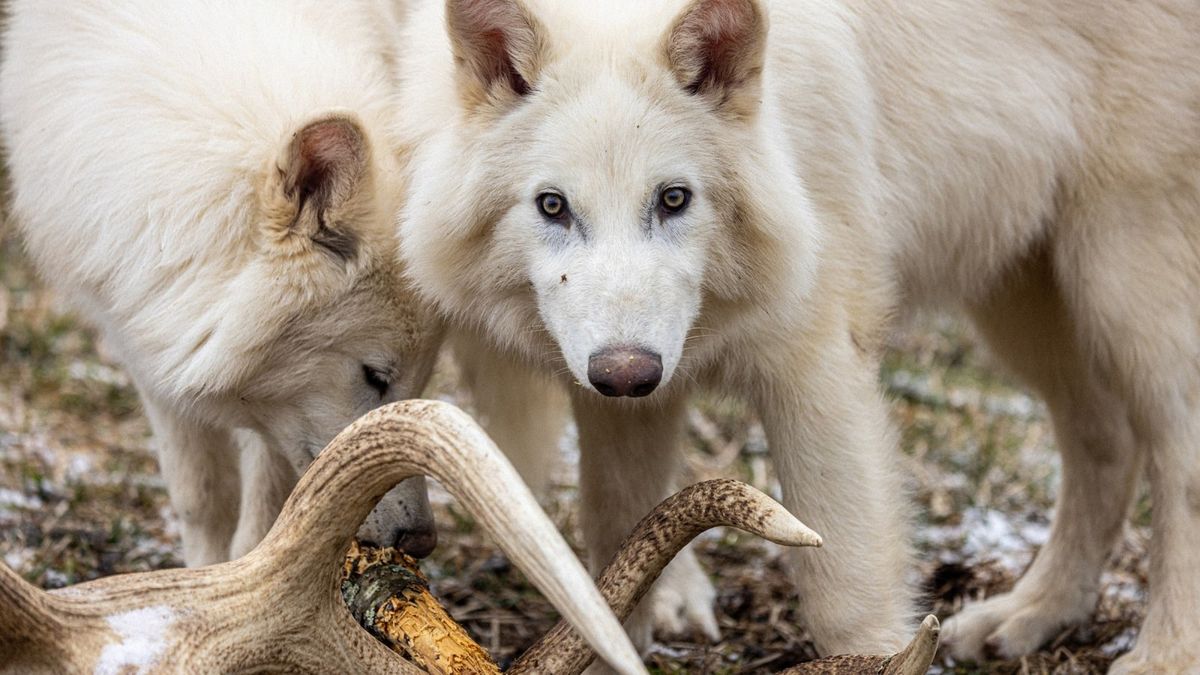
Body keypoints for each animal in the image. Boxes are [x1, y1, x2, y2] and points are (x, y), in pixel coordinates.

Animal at [1, 0, 445, 566]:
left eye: (418, 383)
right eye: (375, 377)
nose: (422, 541)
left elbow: (268, 508)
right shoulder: (145, 346)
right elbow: (200, 497)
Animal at [394, 0, 1200, 671]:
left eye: (674, 198)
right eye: (554, 206)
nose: (627, 372)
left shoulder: (817, 368)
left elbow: (846, 595)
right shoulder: (618, 394)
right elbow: (617, 546)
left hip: (1124, 285)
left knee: (1175, 459)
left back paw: (1163, 654)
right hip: (1022, 301)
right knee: (1106, 443)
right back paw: (1031, 615)